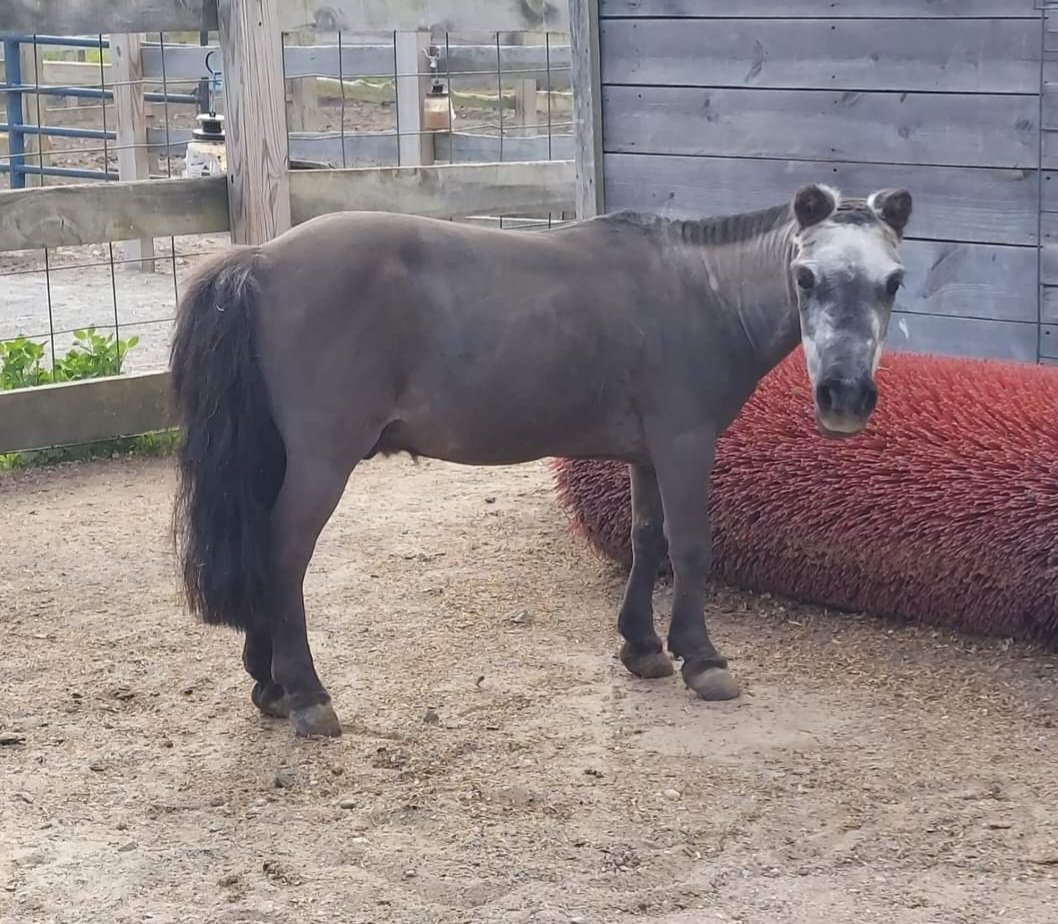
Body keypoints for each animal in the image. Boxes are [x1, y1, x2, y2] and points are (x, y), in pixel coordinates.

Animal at [169, 182, 912, 738]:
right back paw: (307, 695)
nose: (845, 396)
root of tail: (260, 259)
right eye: (806, 277)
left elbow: (647, 540)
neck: (701, 292)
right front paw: (701, 658)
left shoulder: (647, 454)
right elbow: (692, 547)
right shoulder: (685, 444)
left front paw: (642, 646)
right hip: (323, 462)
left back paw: (268, 680)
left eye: (893, 282)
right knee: (284, 554)